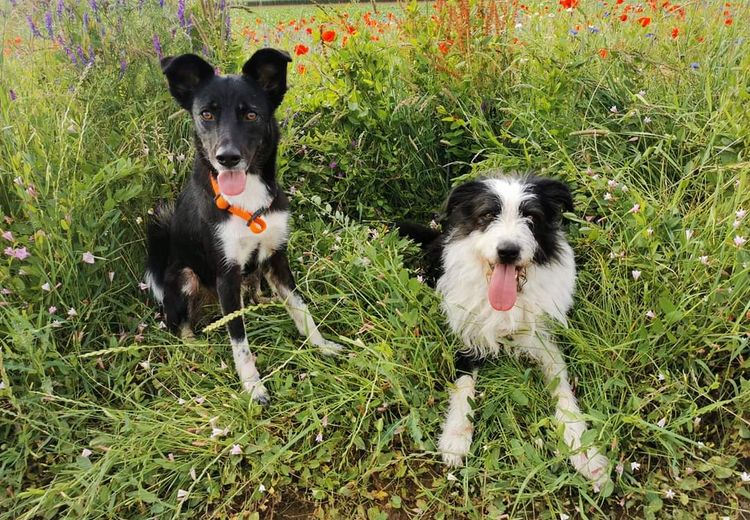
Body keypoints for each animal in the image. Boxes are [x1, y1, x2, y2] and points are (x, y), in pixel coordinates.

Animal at [145, 49, 344, 402]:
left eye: (251, 115)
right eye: (206, 114)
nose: (227, 158)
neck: (247, 199)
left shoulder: (278, 258)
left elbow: (301, 308)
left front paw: (321, 346)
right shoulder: (226, 275)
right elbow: (239, 341)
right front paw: (253, 386)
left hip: (253, 273)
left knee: (253, 296)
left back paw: (265, 303)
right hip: (186, 277)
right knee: (179, 324)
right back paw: (195, 346)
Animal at [400, 174, 612, 484]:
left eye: (531, 216)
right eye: (488, 215)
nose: (508, 251)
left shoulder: (542, 339)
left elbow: (562, 388)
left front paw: (583, 450)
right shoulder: (467, 337)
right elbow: (463, 386)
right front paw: (455, 437)